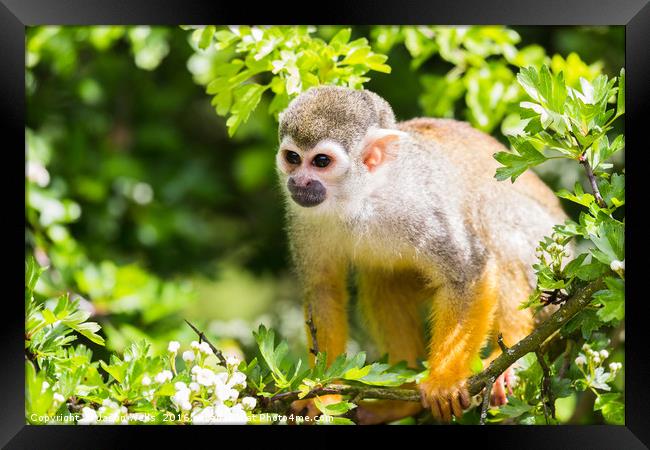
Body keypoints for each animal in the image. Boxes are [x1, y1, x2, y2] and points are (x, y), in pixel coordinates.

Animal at [276, 85, 564, 422]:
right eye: (292, 157)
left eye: (321, 161)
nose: (298, 181)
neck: (362, 197)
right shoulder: (301, 216)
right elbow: (323, 291)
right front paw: (324, 394)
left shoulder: (420, 205)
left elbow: (469, 271)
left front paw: (445, 381)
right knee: (381, 280)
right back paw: (401, 399)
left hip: (545, 251)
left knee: (490, 213)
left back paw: (515, 346)